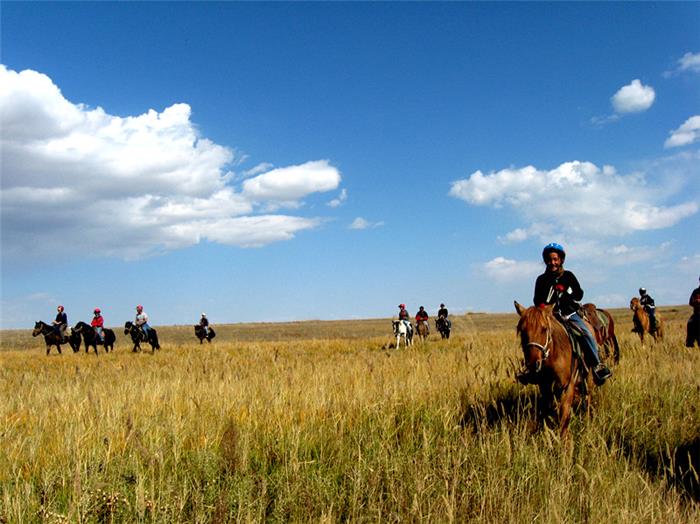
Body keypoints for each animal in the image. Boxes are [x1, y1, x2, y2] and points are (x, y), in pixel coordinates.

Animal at [516, 300, 592, 436]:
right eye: (522, 331)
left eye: (544, 329)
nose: (533, 364)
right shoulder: (544, 387)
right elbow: (547, 412)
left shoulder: (567, 386)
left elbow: (564, 418)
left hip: (588, 378)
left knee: (588, 399)